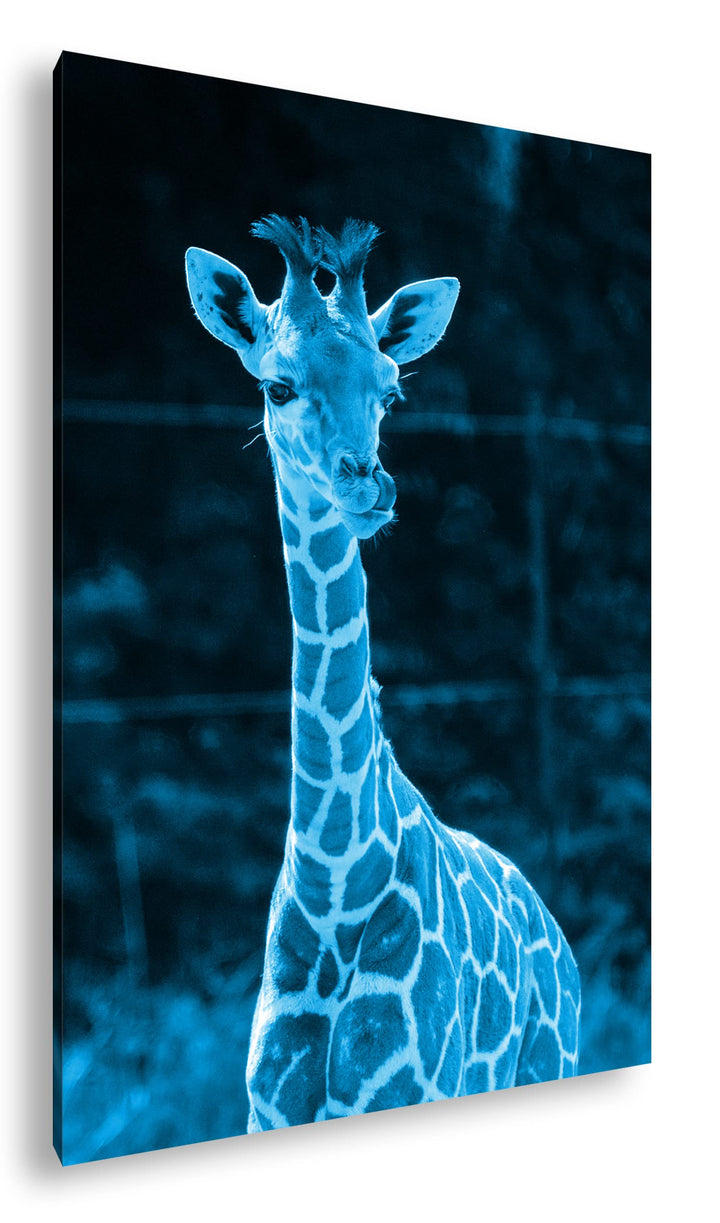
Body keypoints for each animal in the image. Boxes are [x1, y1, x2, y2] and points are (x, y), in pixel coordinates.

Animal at [185, 216, 580, 1131]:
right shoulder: (267, 1112)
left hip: (546, 1066)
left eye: (391, 389)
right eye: (278, 386)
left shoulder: (413, 1087)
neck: (335, 876)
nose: (367, 483)